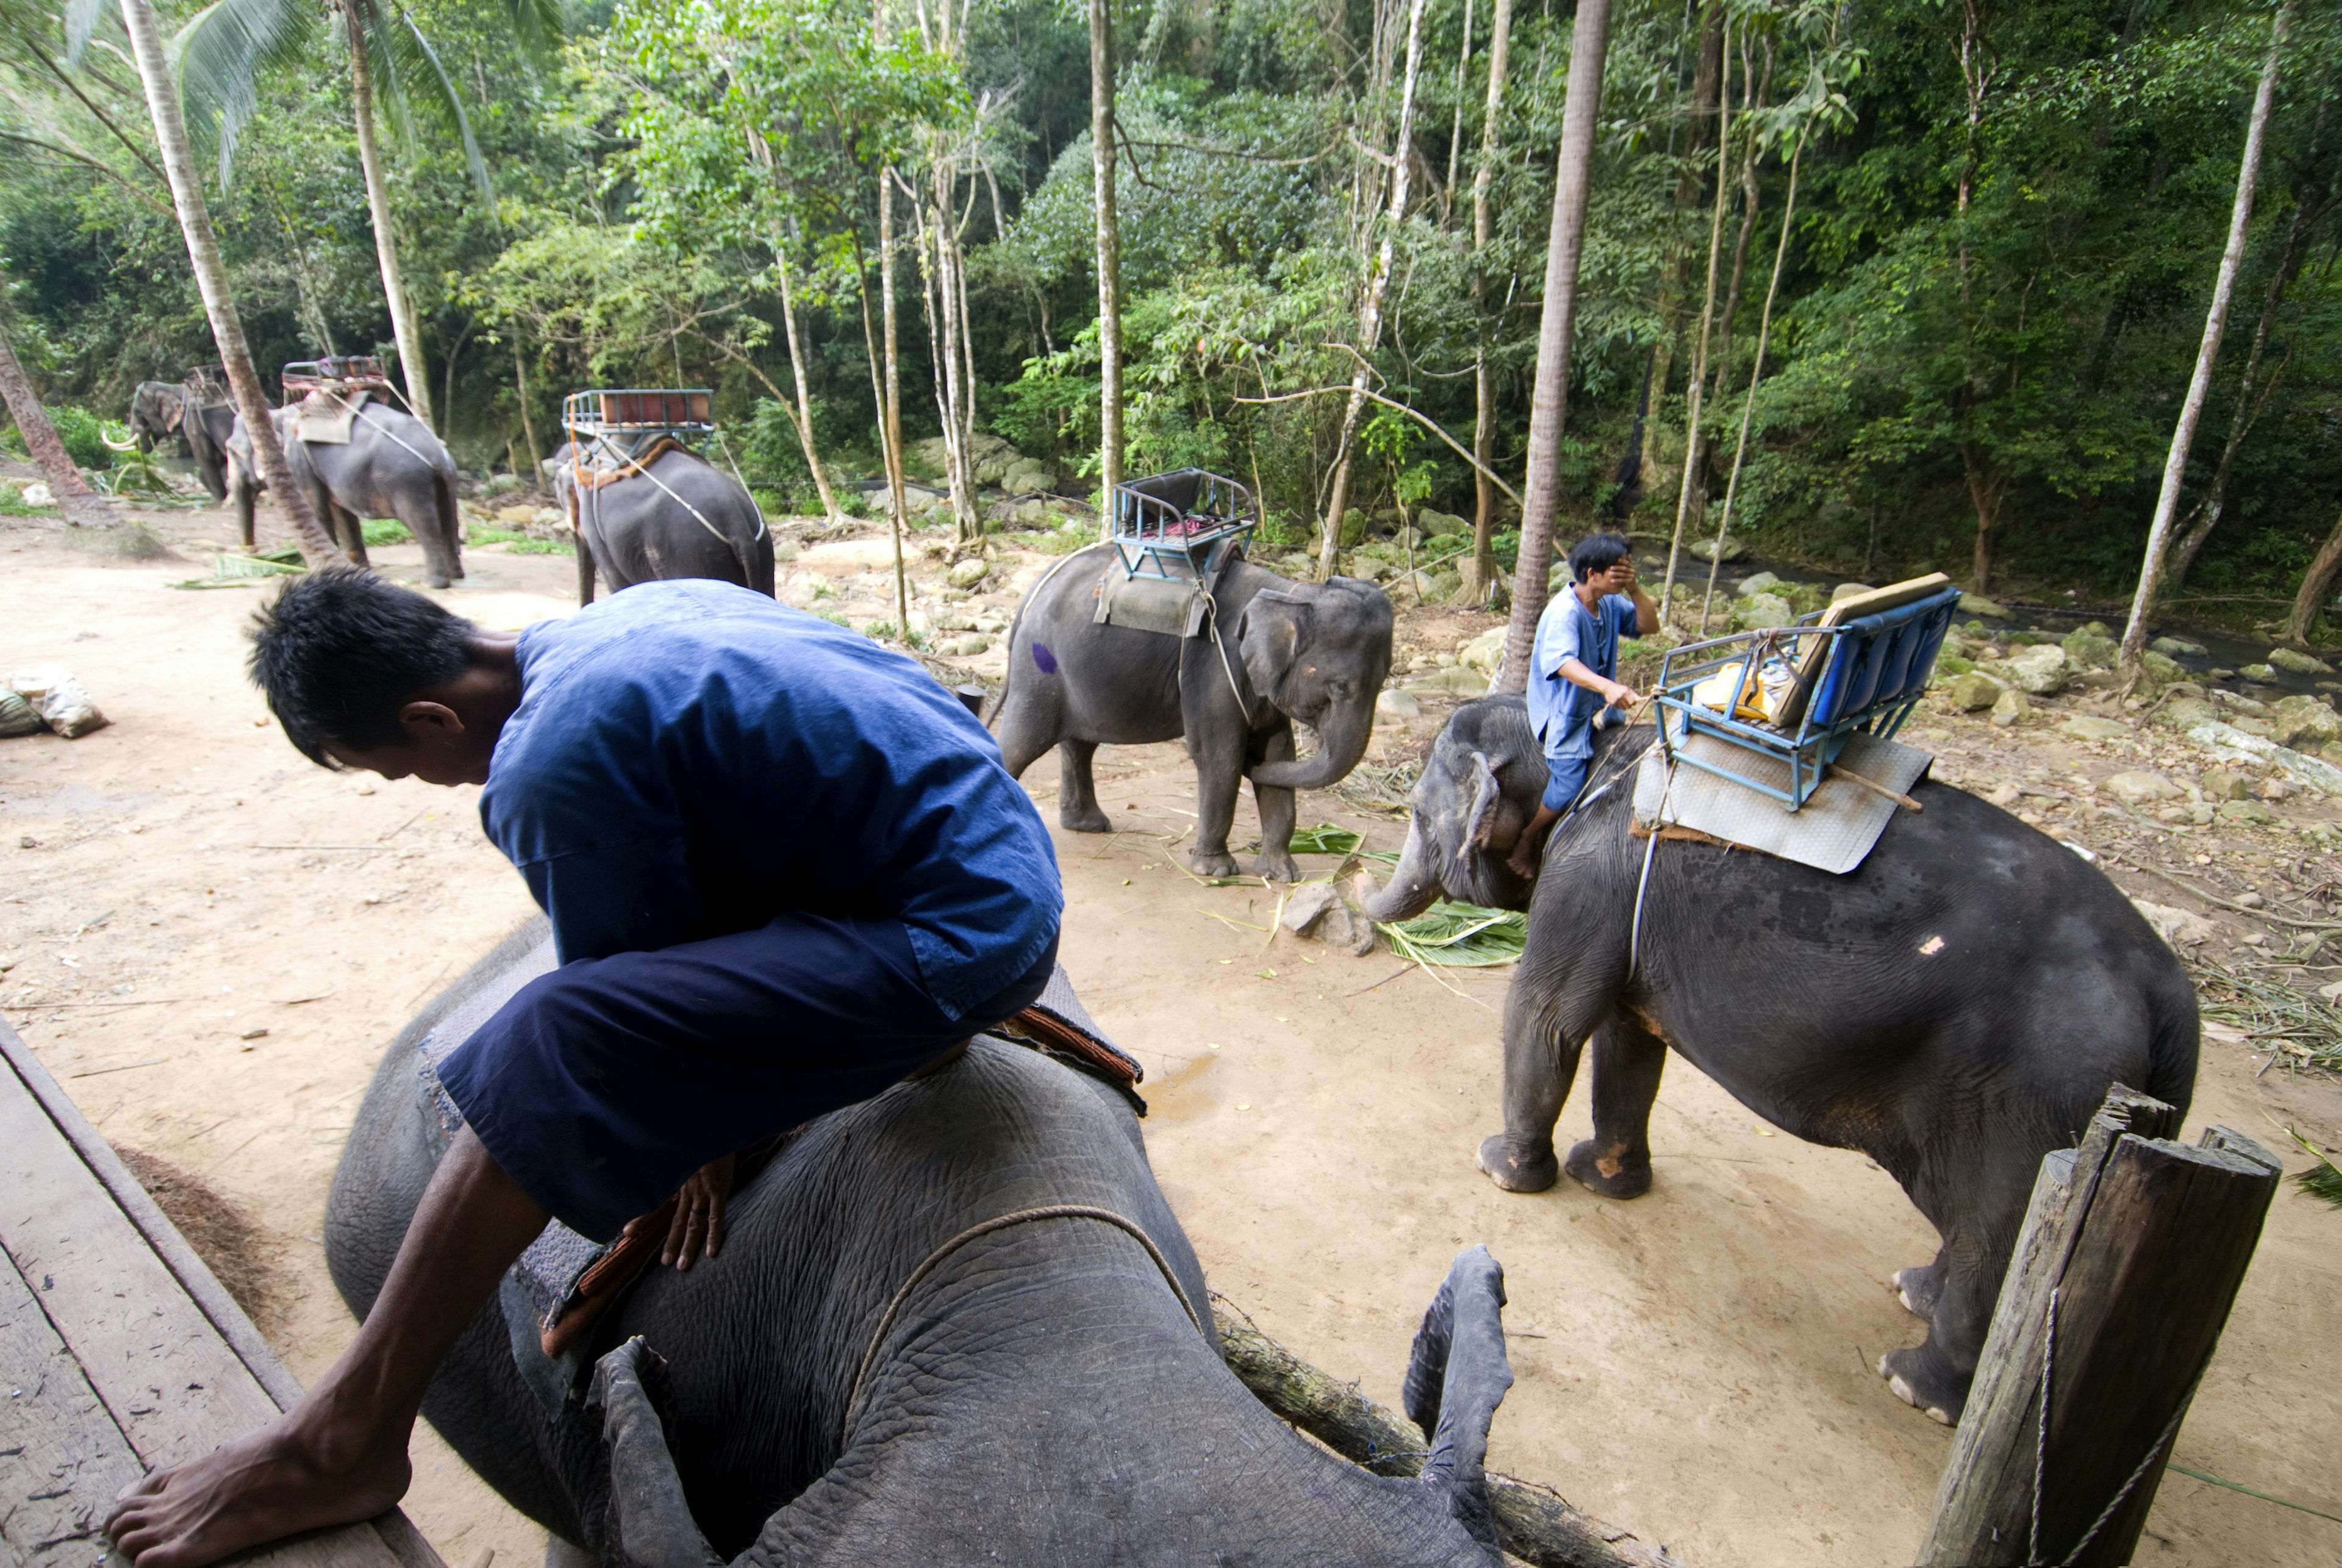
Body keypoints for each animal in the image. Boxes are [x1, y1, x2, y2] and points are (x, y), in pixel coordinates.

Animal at [226, 404, 464, 590]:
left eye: (233, 451)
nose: (250, 551)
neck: (277, 413)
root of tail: (436, 452)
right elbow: (343, 515)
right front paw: (357, 572)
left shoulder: (297, 462)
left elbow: (317, 511)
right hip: (446, 479)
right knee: (448, 517)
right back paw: (456, 575)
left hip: (406, 482)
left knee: (423, 523)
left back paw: (432, 583)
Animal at [988, 550, 1386, 884]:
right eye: (1340, 687)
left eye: (1384, 682)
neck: (1288, 591)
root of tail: (1037, 586)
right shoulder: (1213, 666)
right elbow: (1219, 757)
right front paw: (1216, 872)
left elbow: (1278, 755)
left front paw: (1282, 876)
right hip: (1038, 670)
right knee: (1023, 742)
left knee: (1079, 745)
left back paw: (1088, 825)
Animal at [1367, 697, 2201, 1423]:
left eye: (1417, 815)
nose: (1355, 888)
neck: (1590, 744)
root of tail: (2170, 997)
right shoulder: (1624, 907)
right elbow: (1629, 1040)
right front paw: (1604, 1183)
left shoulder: (1587, 878)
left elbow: (1546, 1019)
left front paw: (1501, 1173)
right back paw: (1915, 1295)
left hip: (2035, 1099)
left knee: (1998, 1228)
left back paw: (1915, 1386)